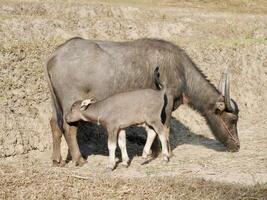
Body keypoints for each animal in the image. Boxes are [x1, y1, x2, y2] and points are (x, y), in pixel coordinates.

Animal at [44, 37, 241, 166]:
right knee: (69, 127)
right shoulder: (168, 101)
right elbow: (164, 127)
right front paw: (164, 152)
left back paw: (56, 160)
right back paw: (79, 159)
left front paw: (153, 152)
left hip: (56, 102)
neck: (181, 71)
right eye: (233, 120)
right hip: (71, 103)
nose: (237, 146)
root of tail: (54, 55)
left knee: (54, 124)